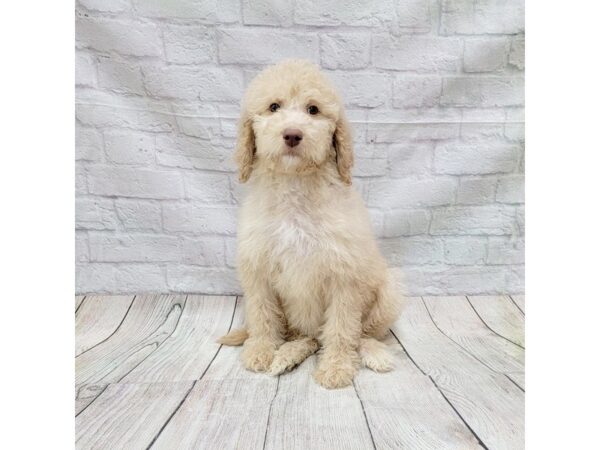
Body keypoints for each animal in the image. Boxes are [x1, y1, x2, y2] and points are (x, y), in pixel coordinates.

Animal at [218, 59, 406, 390]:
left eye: (313, 110)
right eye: (274, 106)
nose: (292, 135)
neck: (296, 187)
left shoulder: (345, 276)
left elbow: (342, 327)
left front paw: (337, 367)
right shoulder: (258, 270)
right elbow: (262, 315)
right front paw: (260, 350)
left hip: (389, 291)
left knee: (360, 334)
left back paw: (374, 354)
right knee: (306, 337)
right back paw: (286, 355)